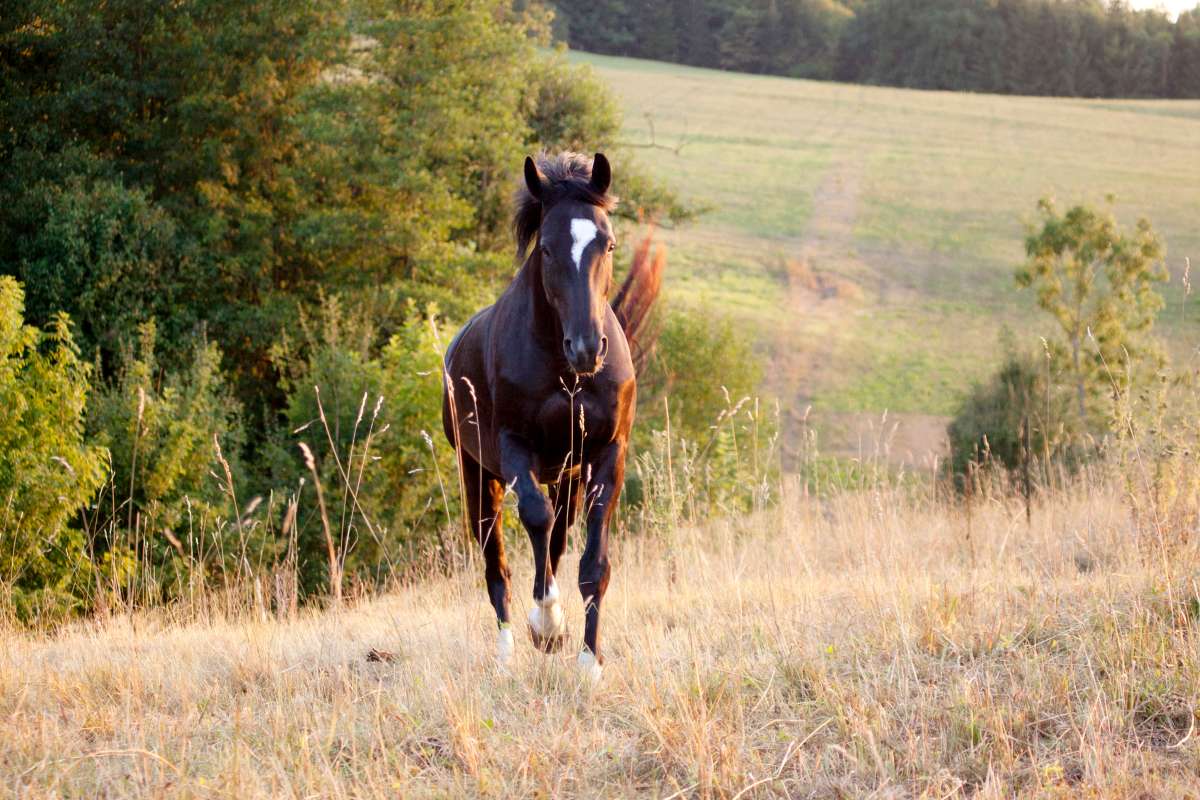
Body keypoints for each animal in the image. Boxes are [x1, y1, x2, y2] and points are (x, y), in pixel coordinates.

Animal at [441, 151, 661, 681]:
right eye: (546, 249)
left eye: (608, 242)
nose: (586, 348)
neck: (566, 373)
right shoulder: (514, 448)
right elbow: (534, 519)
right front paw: (546, 625)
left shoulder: (606, 454)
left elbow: (592, 563)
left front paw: (588, 663)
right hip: (477, 475)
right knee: (497, 564)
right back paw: (507, 654)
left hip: (567, 475)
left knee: (555, 544)